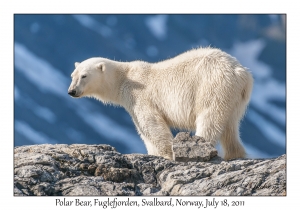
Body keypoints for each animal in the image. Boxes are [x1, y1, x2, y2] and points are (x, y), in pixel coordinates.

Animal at [68, 47, 253, 160]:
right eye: (72, 75)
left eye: (84, 75)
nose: (71, 91)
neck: (125, 78)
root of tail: (240, 71)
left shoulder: (139, 96)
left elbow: (151, 125)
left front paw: (166, 155)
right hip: (235, 96)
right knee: (230, 125)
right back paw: (235, 154)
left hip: (212, 85)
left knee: (210, 117)